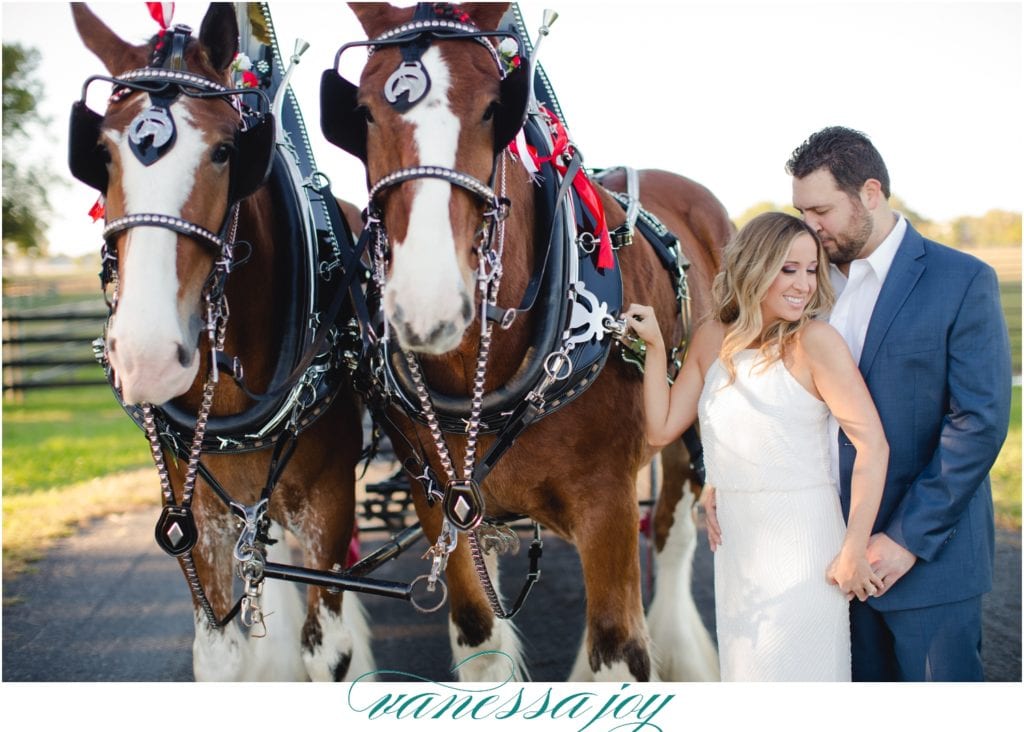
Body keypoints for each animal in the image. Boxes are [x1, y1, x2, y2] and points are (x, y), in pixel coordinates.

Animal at [73, 4, 376, 679]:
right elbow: (217, 655)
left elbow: (329, 651)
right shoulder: (199, 522)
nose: (148, 355)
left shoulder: (329, 505)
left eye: (225, 151)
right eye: (100, 153)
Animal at [323, 4, 733, 679]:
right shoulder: (442, 507)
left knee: (673, 541)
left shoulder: (608, 506)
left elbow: (620, 649)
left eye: (496, 107)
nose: (428, 303)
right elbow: (479, 643)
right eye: (361, 113)